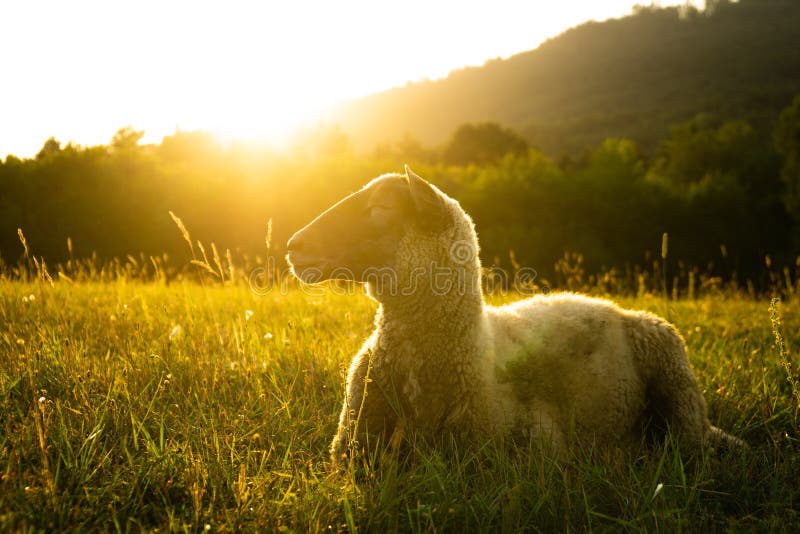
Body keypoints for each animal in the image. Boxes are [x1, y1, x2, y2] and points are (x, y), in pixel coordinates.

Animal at [284, 164, 740, 468]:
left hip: (678, 391)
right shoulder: (348, 453)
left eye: (379, 207)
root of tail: (615, 307)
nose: (293, 245)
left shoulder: (532, 444)